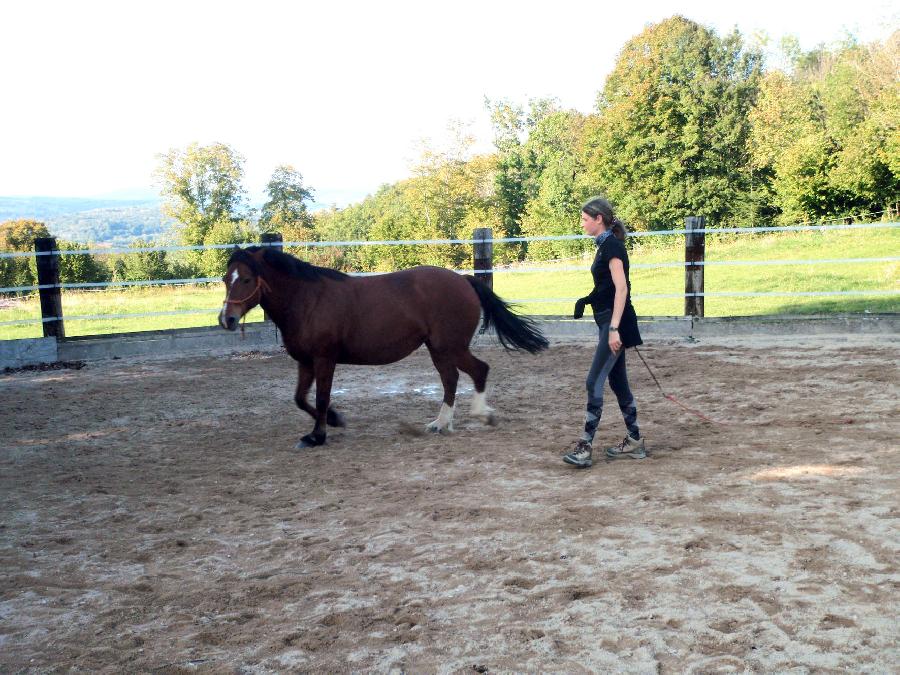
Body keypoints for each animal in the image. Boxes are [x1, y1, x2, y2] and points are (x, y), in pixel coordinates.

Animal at [218, 247, 548, 448]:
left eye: (246, 278)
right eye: (225, 278)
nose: (227, 319)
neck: (308, 300)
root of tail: (464, 280)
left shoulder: (324, 359)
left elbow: (321, 399)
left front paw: (318, 435)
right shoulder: (305, 361)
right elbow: (300, 399)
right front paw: (334, 421)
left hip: (449, 346)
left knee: (478, 370)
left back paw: (481, 415)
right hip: (438, 349)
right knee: (451, 379)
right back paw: (440, 423)